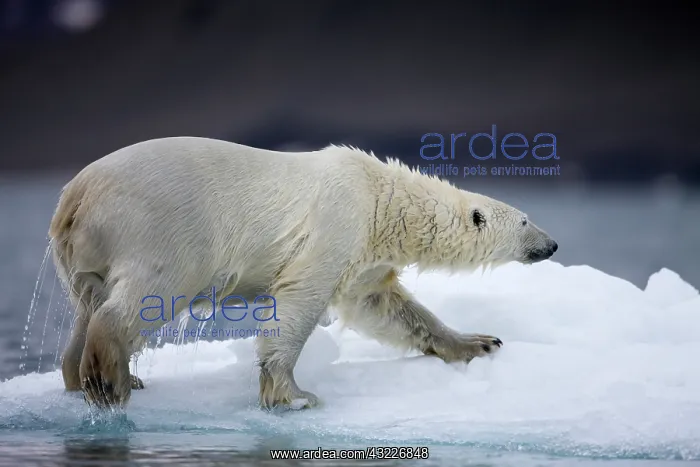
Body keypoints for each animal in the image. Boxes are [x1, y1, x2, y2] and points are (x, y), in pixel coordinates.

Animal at [48, 137, 558, 409]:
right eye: (527, 220)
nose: (552, 245)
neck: (382, 198)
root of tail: (74, 195)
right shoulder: (338, 221)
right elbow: (300, 298)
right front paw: (292, 394)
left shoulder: (366, 252)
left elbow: (383, 306)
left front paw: (478, 342)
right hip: (159, 231)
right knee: (143, 297)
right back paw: (113, 380)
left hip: (83, 256)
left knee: (86, 306)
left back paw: (86, 375)